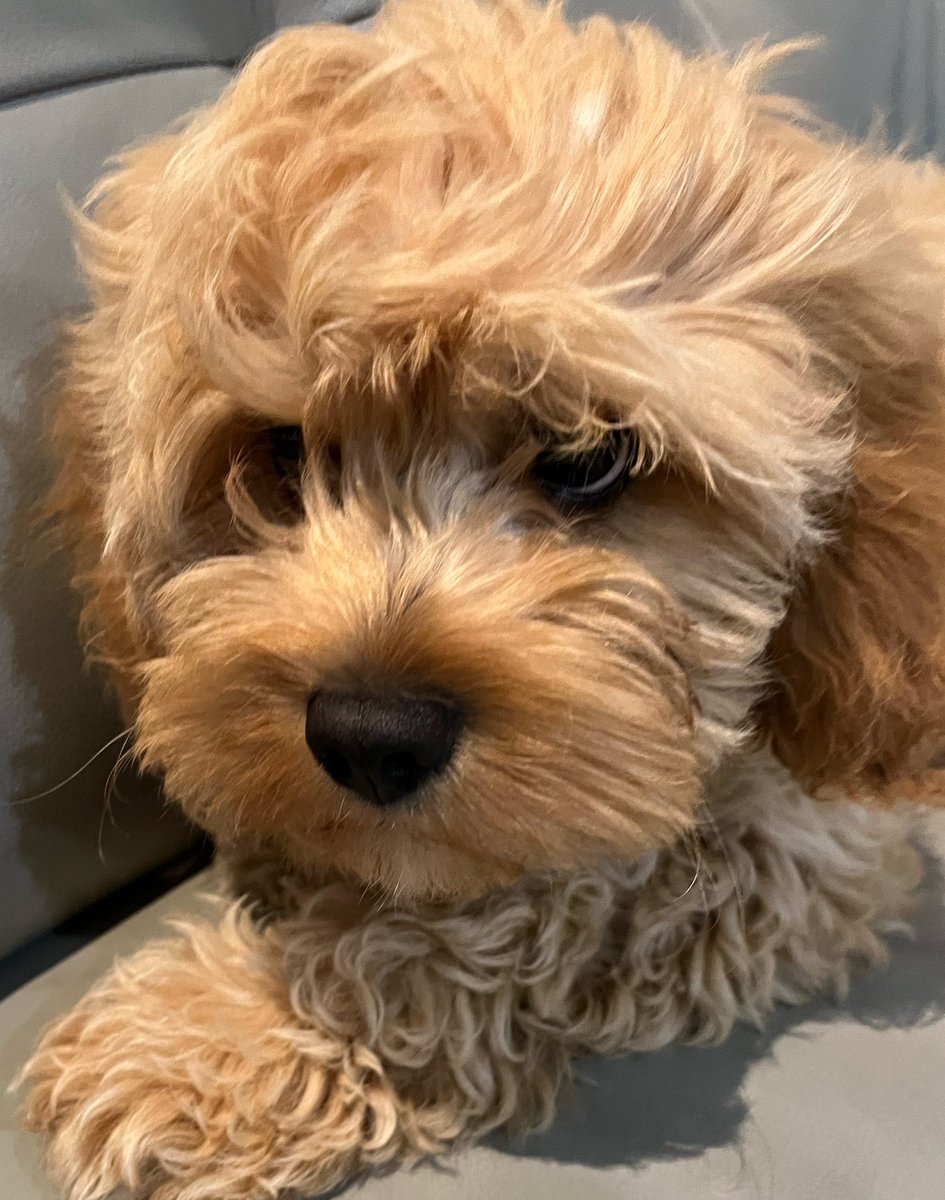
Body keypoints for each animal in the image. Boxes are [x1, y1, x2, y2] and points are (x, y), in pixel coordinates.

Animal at [18, 2, 944, 1200]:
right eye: (280, 450)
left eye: (590, 456)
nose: (369, 734)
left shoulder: (812, 835)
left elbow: (543, 905)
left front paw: (219, 1036)